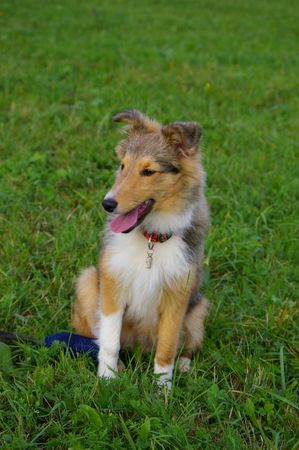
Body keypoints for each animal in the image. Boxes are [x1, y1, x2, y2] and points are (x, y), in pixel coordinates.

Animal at [72, 109, 210, 386]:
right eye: (122, 166)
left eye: (149, 171)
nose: (107, 204)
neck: (151, 240)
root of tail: (141, 346)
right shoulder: (113, 284)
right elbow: (109, 342)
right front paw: (107, 380)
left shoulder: (177, 296)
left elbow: (166, 350)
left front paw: (163, 390)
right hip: (88, 282)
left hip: (198, 310)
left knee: (185, 346)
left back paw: (185, 364)